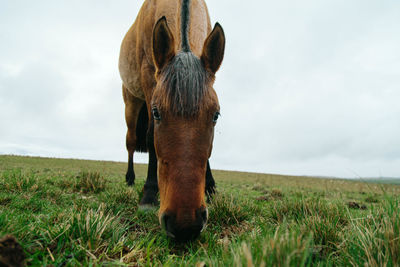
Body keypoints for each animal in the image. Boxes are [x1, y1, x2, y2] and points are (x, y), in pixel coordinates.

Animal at [119, 0, 225, 243]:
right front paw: (149, 194)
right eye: (157, 113)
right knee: (131, 143)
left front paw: (211, 187)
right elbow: (150, 137)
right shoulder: (149, 76)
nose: (185, 223)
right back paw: (130, 179)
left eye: (216, 115)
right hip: (132, 104)